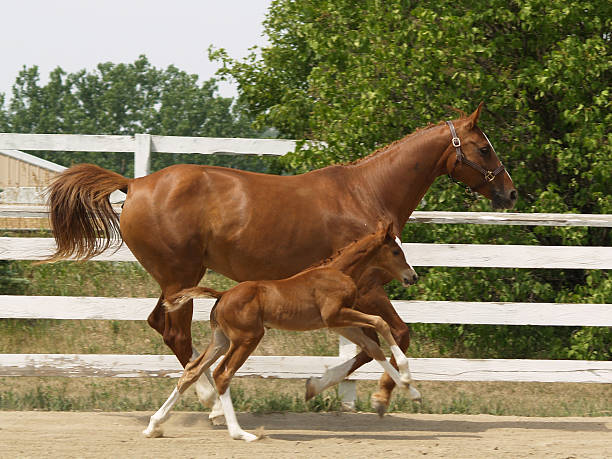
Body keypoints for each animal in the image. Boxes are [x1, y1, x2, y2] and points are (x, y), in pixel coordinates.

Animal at [144, 224, 420, 442]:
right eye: (396, 251)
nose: (413, 276)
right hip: (247, 338)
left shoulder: (339, 322)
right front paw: (407, 377)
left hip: (221, 339)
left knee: (192, 370)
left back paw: (154, 425)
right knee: (222, 373)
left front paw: (410, 390)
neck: (339, 272)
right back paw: (240, 433)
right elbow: (380, 323)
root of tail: (222, 295)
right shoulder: (336, 315)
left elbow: (372, 348)